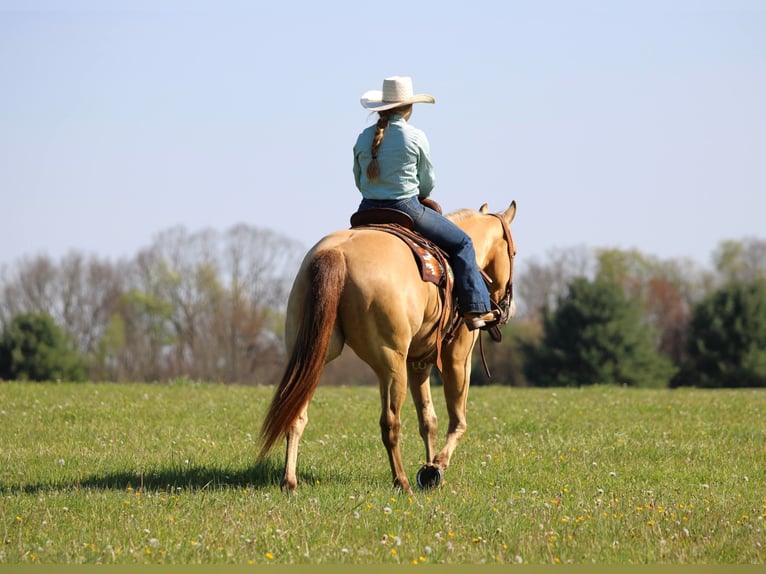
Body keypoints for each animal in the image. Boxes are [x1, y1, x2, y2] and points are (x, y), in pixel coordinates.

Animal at [259, 201, 517, 493]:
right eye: (514, 252)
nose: (507, 308)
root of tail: (336, 253)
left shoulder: (418, 363)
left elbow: (428, 420)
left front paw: (429, 467)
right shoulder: (458, 358)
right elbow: (457, 420)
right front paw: (436, 466)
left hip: (313, 355)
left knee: (296, 414)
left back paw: (289, 481)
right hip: (391, 365)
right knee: (390, 423)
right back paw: (401, 481)